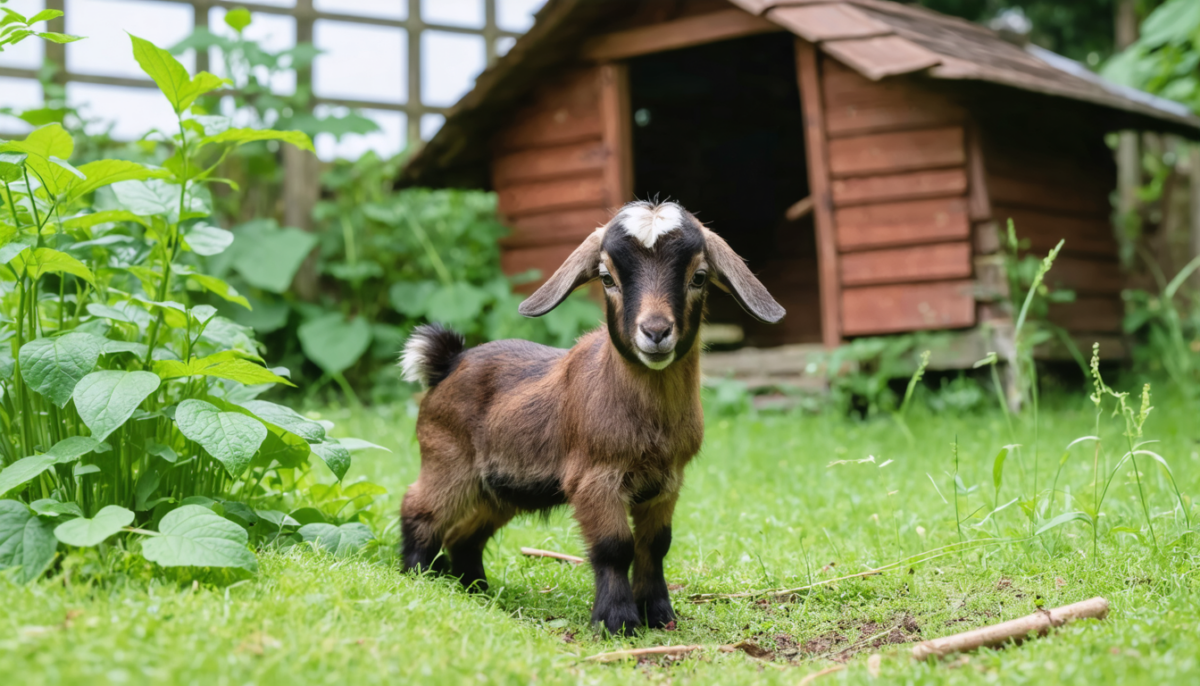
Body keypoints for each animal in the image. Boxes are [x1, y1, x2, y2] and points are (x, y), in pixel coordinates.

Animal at [398, 200, 785, 635]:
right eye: (607, 278)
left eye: (699, 277)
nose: (655, 332)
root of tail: (448, 363)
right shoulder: (595, 478)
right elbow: (614, 546)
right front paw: (616, 621)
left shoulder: (667, 482)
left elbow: (656, 544)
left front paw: (659, 615)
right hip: (447, 461)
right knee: (419, 507)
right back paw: (419, 576)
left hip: (498, 489)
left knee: (465, 535)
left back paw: (477, 590)